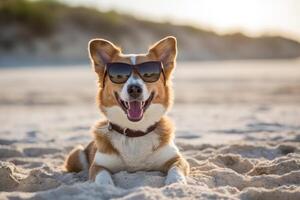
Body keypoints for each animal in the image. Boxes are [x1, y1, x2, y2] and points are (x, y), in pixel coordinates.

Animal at [64, 36, 189, 186]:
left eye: (149, 74)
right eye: (119, 75)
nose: (134, 89)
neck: (134, 133)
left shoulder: (178, 159)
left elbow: (176, 168)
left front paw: (176, 182)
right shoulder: (98, 165)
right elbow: (103, 177)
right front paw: (106, 187)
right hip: (77, 154)